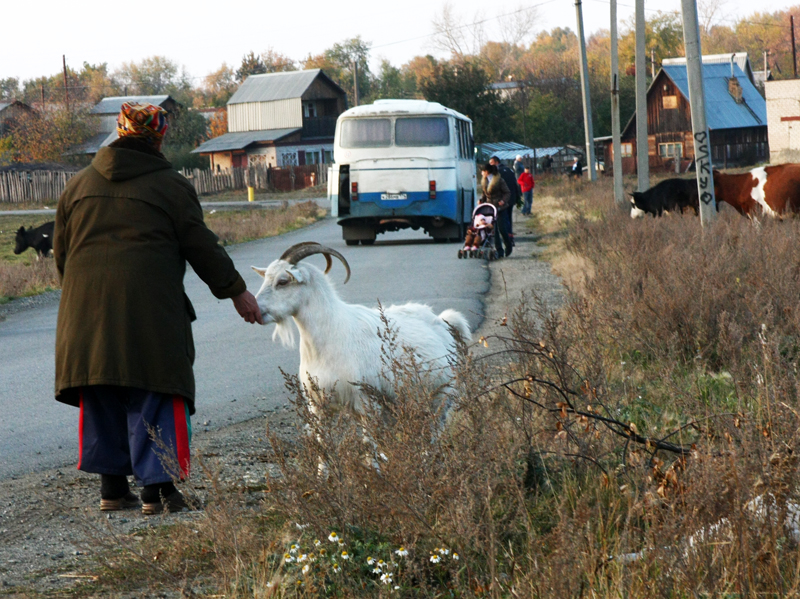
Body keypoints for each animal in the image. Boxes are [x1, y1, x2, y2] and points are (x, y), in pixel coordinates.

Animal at [253, 241, 472, 410]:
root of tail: (442, 321)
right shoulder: (317, 405)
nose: (257, 310)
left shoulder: (366, 401)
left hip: (443, 396)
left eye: (282, 281)